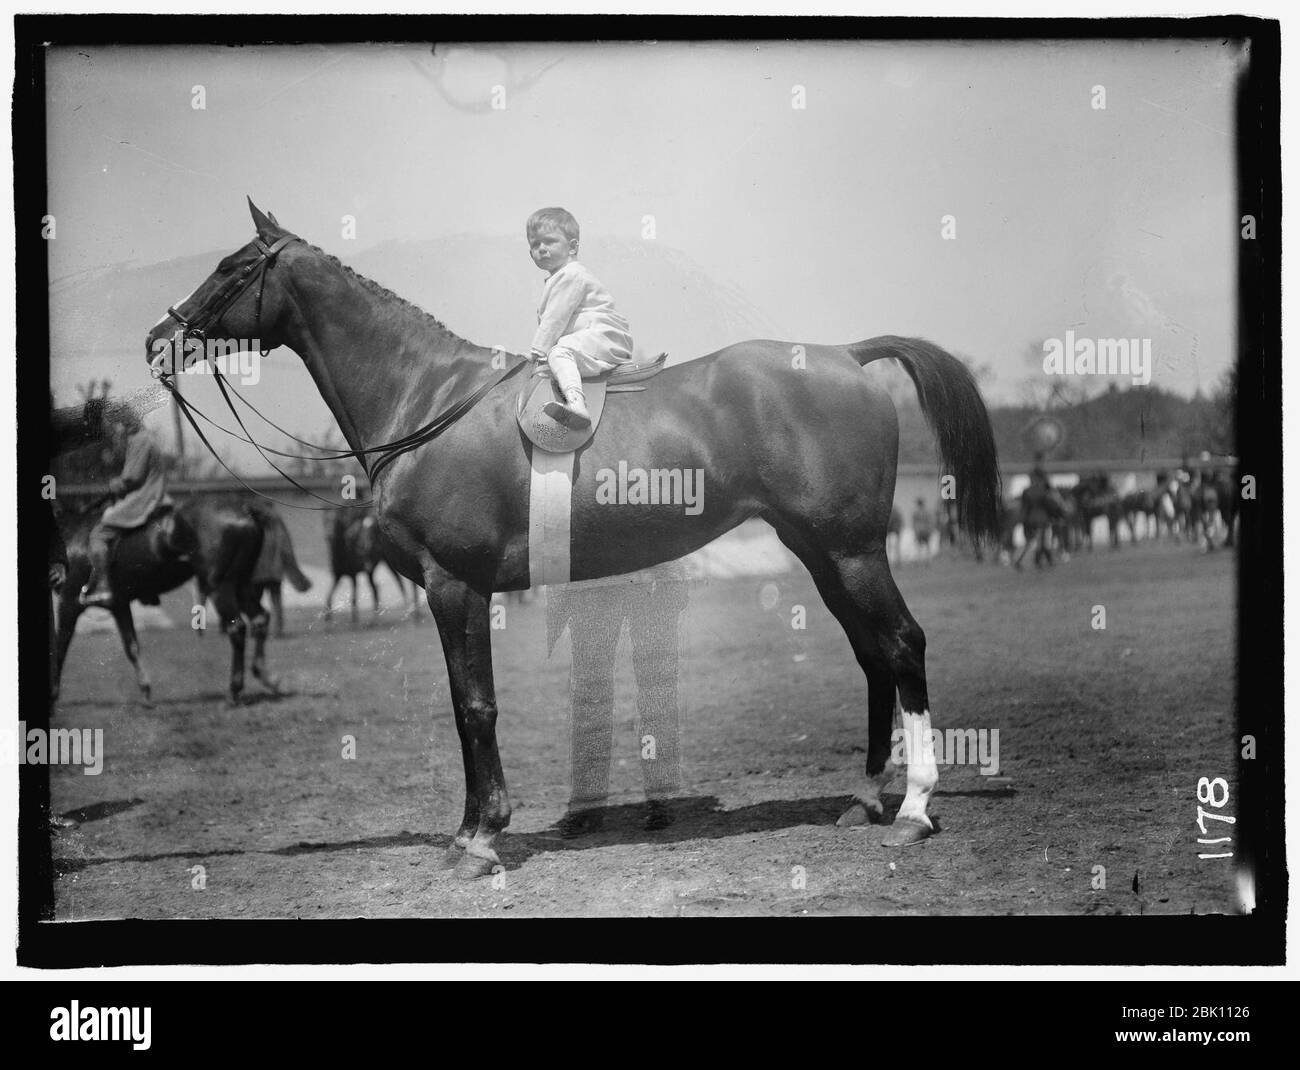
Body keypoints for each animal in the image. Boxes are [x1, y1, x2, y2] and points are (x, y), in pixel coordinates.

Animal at [54, 496, 275, 712]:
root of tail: (244, 510)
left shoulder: (69, 602)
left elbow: (60, 645)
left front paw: (53, 695)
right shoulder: (119, 605)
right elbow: (131, 646)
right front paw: (146, 693)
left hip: (220, 586)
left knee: (237, 628)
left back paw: (233, 693)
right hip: (242, 584)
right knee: (260, 619)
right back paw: (266, 676)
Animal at [144, 202, 1003, 878]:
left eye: (230, 269)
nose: (158, 339)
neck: (429, 400)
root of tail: (848, 357)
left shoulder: (458, 586)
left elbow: (476, 707)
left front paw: (482, 838)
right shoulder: (449, 593)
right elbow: (463, 705)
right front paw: (468, 832)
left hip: (853, 552)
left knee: (903, 645)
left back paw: (914, 809)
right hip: (820, 553)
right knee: (872, 656)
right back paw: (864, 799)